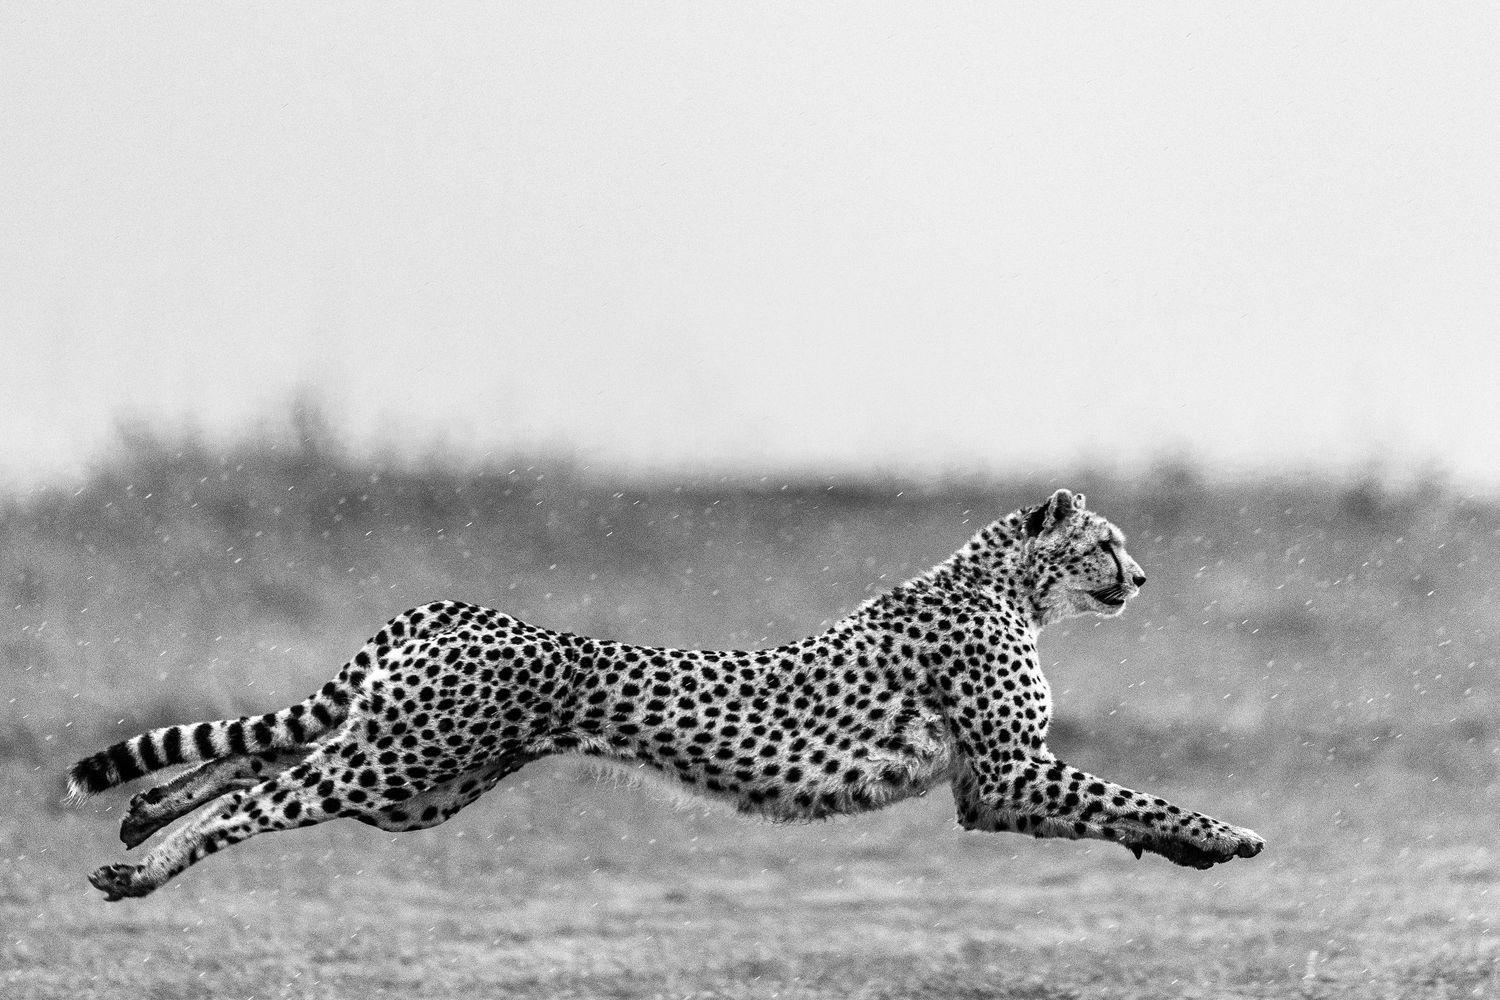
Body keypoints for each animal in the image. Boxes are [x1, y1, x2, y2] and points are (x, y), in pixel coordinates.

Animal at [67, 488, 1264, 900]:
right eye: (1108, 542)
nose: (1143, 578)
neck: (999, 582)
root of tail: (460, 608)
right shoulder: (1007, 776)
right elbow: (1130, 795)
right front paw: (1224, 833)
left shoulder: (993, 788)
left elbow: (1117, 808)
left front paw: (1199, 848)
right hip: (403, 764)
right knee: (256, 796)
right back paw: (141, 865)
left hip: (417, 774)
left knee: (260, 752)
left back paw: (140, 811)